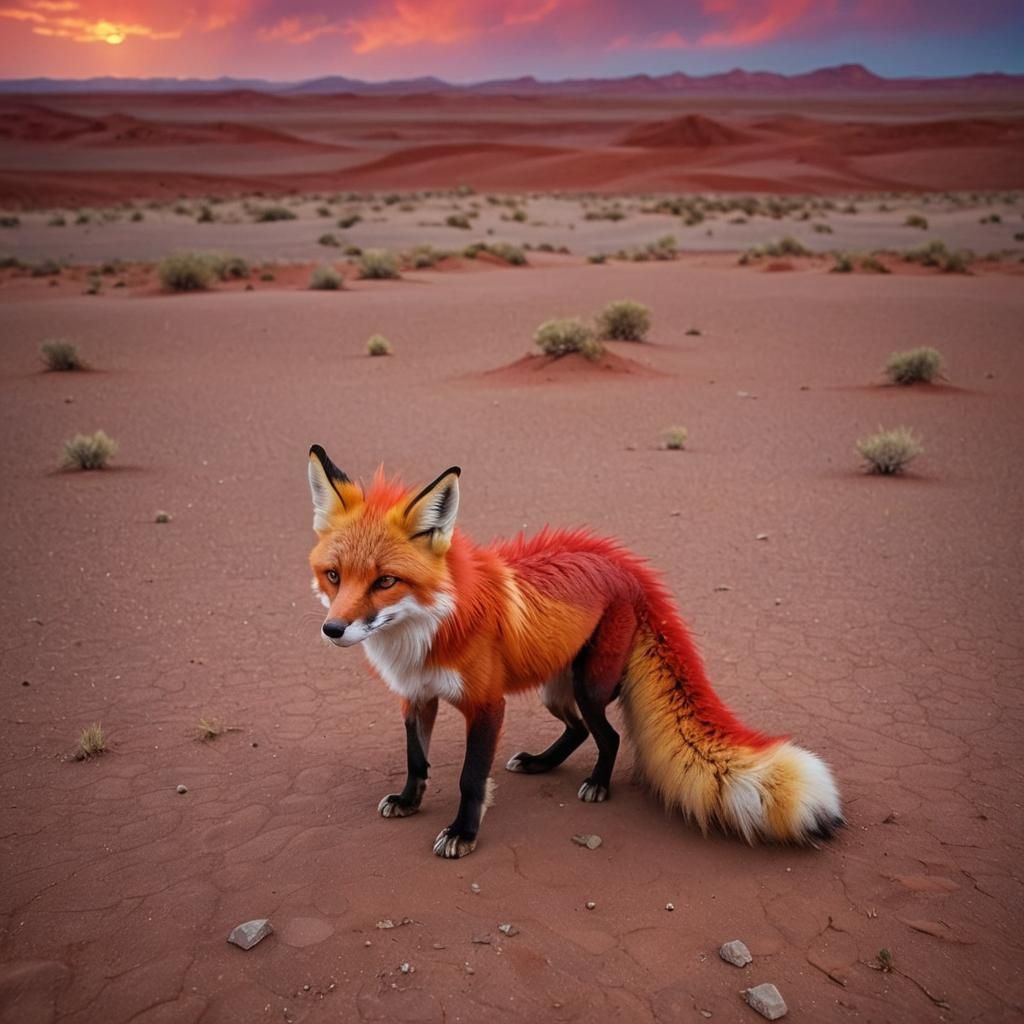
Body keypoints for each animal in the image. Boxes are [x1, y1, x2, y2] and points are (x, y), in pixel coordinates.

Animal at [307, 444, 843, 859]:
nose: (332, 629)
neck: (424, 632)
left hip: (589, 685)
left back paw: (599, 784)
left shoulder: (487, 705)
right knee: (580, 730)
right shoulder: (416, 696)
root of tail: (624, 564)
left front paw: (463, 832)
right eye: (334, 576)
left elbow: (470, 778)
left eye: (385, 581)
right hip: (556, 689)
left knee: (608, 736)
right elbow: (416, 760)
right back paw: (541, 763)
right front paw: (409, 800)